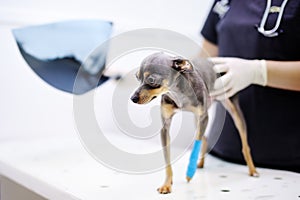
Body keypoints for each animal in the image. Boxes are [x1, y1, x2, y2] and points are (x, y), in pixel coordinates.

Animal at [130, 51, 258, 194]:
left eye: (152, 81)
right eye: (137, 78)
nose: (133, 98)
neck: (178, 93)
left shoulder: (204, 117)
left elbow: (196, 143)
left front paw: (190, 172)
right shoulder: (165, 128)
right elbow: (167, 158)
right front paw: (167, 184)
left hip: (231, 109)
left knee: (244, 144)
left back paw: (252, 170)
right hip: (197, 118)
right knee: (205, 138)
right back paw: (200, 163)